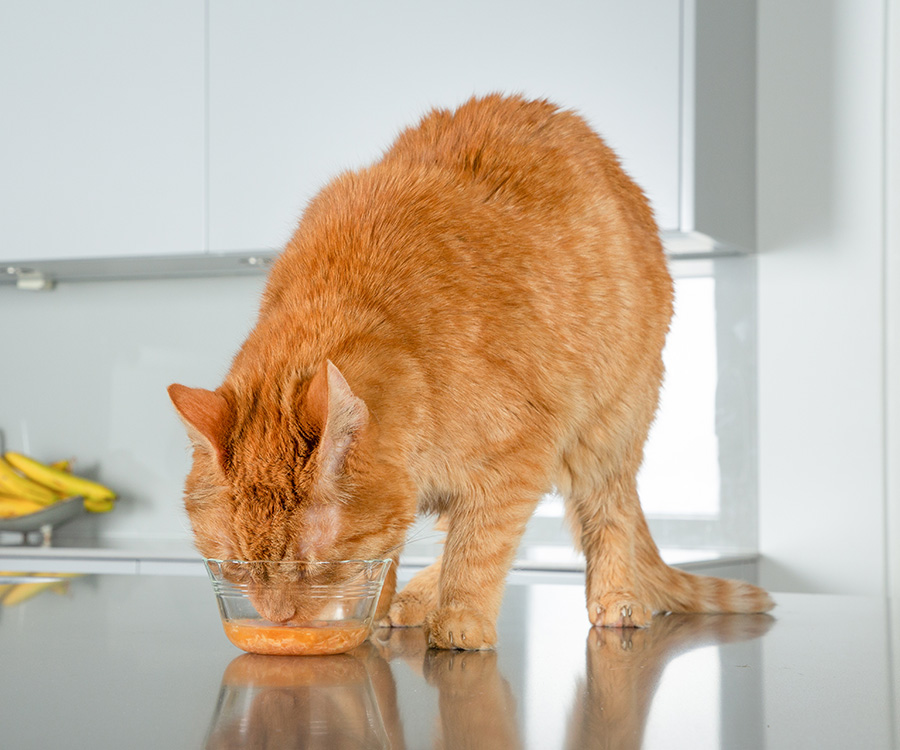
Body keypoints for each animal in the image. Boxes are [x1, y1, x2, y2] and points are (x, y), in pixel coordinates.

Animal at [169, 94, 772, 652]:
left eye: (313, 566)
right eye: (236, 567)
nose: (278, 619)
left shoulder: (518, 457)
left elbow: (479, 548)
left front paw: (460, 620)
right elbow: (404, 545)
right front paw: (385, 605)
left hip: (608, 429)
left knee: (610, 513)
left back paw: (616, 598)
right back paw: (415, 598)